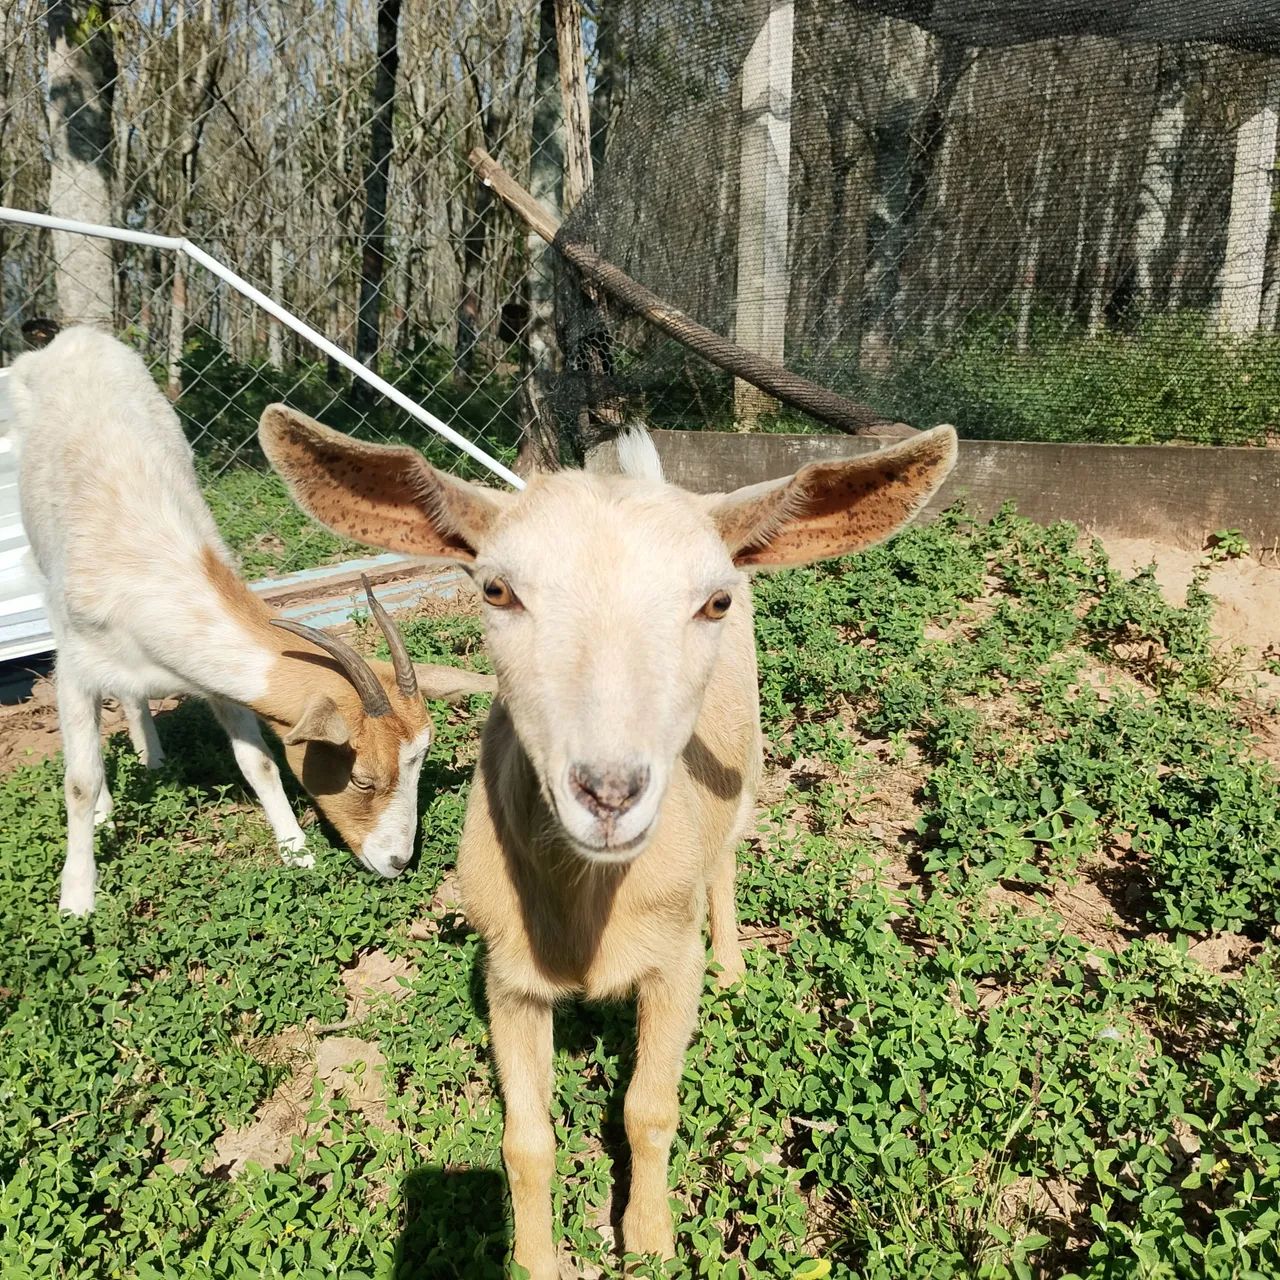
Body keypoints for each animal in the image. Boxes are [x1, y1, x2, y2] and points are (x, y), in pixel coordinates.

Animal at [8, 328, 494, 915]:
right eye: (359, 778)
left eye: (420, 763)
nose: (397, 862)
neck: (152, 566)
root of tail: (79, 335)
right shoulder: (76, 668)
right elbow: (79, 780)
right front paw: (77, 897)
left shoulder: (220, 683)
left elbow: (258, 762)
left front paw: (296, 850)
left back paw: (153, 757)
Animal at [258, 403, 957, 1278]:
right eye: (496, 589)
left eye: (713, 602)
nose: (611, 791)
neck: (588, 910)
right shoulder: (508, 976)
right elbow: (524, 1142)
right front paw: (534, 1259)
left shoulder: (672, 961)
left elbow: (649, 1110)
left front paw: (650, 1242)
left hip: (746, 770)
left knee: (728, 859)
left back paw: (736, 969)